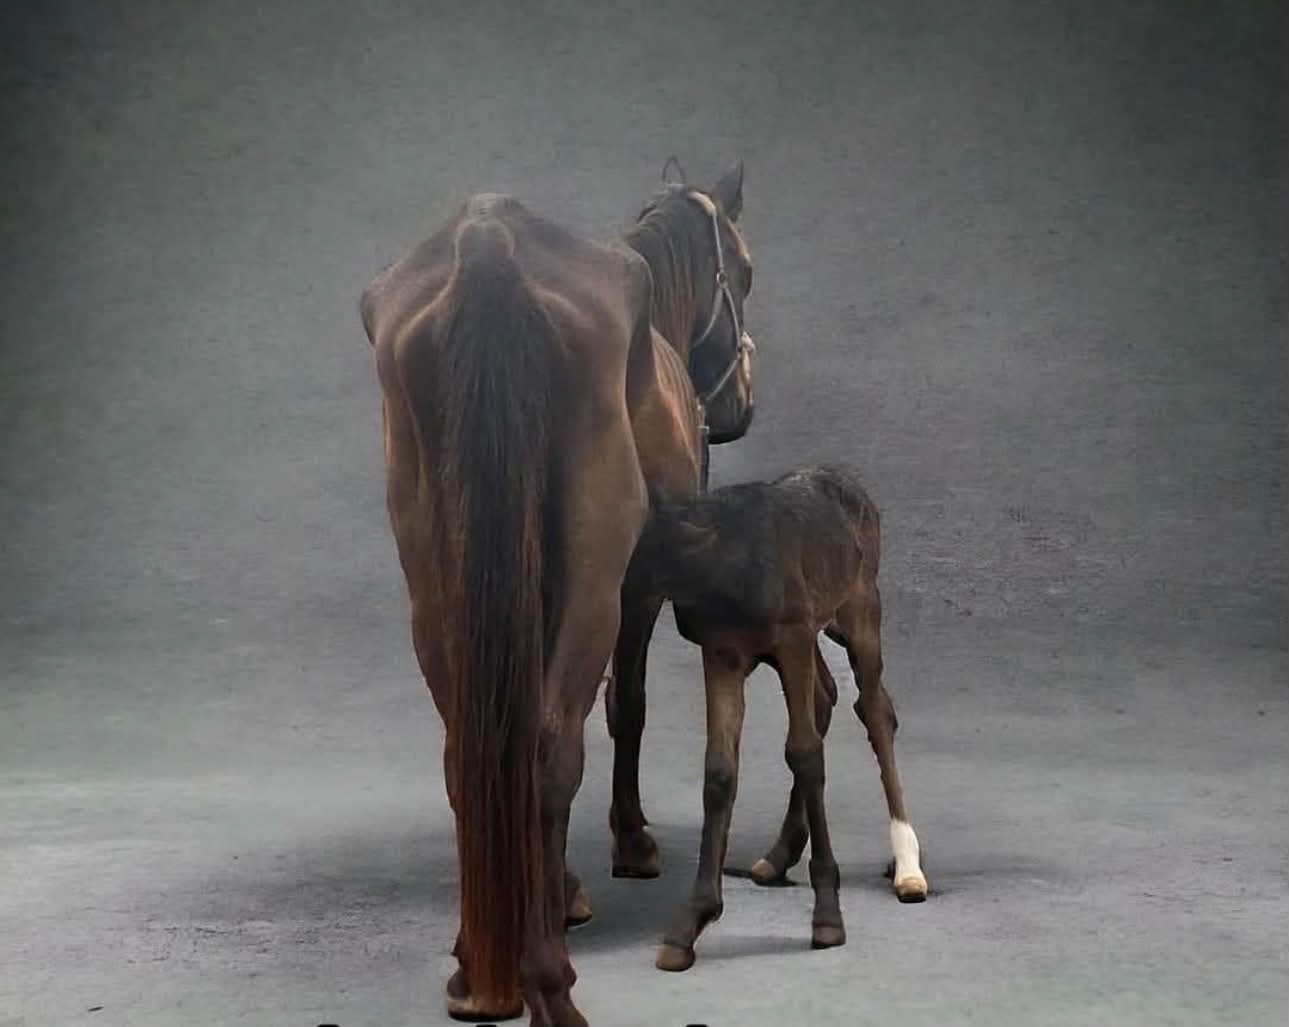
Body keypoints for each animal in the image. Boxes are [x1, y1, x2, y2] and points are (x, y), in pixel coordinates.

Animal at [358, 163, 756, 1026]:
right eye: (742, 271)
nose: (742, 405)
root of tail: (488, 247)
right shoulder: (637, 587)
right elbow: (625, 707)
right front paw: (625, 847)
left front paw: (562, 888)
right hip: (593, 582)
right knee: (547, 747)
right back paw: (545, 981)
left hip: (437, 585)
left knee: (468, 749)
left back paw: (475, 965)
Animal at [630, 465, 930, 972]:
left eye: (648, 558)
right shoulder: (724, 652)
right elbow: (720, 770)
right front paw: (691, 921)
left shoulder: (791, 635)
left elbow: (805, 754)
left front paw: (827, 915)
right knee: (828, 695)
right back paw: (779, 852)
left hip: (859, 606)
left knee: (875, 709)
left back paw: (908, 863)